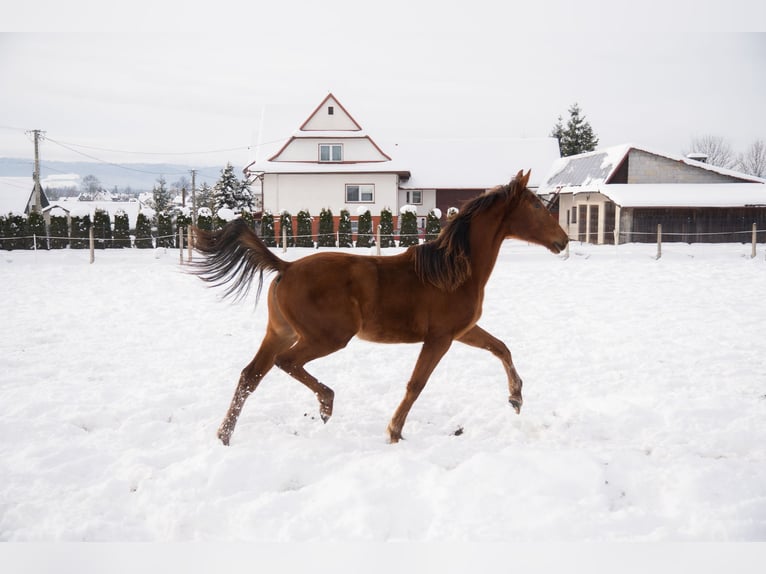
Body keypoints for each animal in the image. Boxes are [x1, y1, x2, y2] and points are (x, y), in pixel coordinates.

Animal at [192, 170, 568, 444]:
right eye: (536, 206)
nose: (563, 240)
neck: (454, 270)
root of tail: (285, 267)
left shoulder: (463, 331)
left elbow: (501, 347)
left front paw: (516, 398)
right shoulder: (440, 338)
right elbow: (416, 384)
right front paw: (394, 431)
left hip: (280, 332)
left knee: (250, 375)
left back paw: (224, 435)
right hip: (327, 337)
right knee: (286, 363)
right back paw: (326, 402)